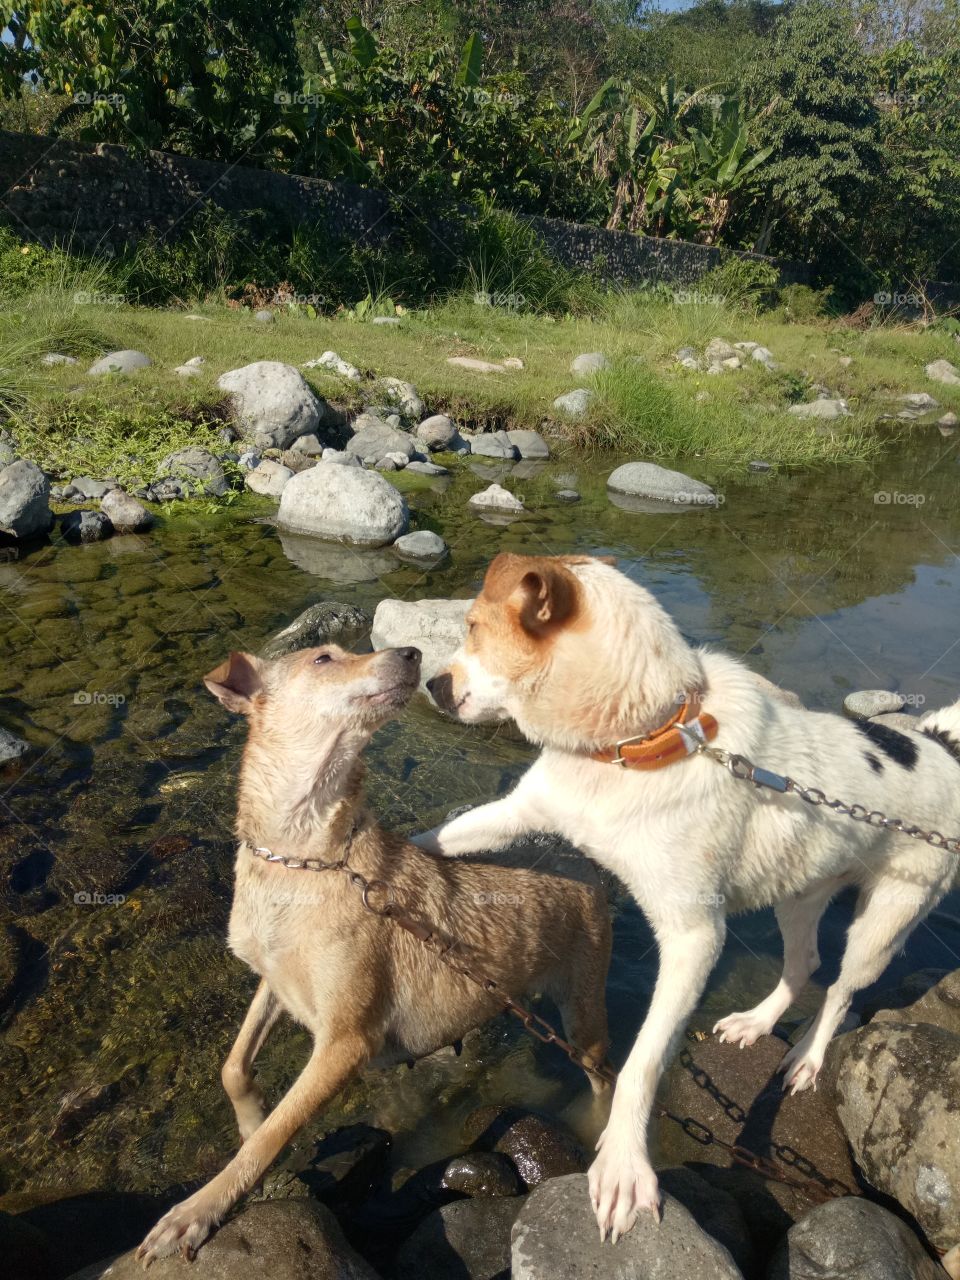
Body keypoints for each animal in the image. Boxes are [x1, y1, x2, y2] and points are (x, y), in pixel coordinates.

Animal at [138, 640, 611, 1259]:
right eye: (323, 659)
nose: (411, 652)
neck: (306, 857)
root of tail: (581, 858)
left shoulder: (346, 1041)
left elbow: (273, 1138)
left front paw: (197, 1211)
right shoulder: (276, 983)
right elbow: (234, 1067)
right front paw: (247, 1118)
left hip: (583, 1018)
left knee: (608, 1080)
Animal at [419, 550, 960, 1239]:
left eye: (472, 626)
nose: (432, 686)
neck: (640, 740)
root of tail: (941, 747)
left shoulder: (694, 938)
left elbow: (643, 1062)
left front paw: (623, 1164)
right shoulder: (518, 813)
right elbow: (440, 837)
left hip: (885, 919)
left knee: (840, 988)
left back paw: (808, 1057)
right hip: (799, 890)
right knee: (804, 961)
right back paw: (757, 1023)